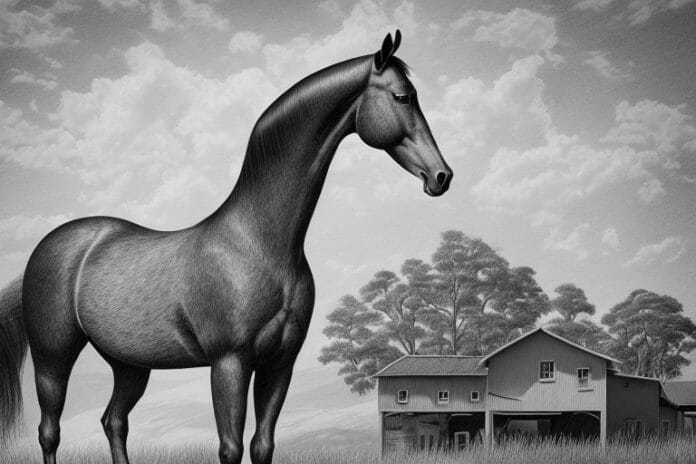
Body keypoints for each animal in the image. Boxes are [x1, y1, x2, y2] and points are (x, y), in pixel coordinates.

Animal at [0, 30, 452, 464]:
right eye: (402, 96)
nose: (442, 176)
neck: (257, 243)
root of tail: (48, 247)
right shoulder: (229, 362)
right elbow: (230, 448)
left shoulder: (279, 364)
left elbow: (262, 446)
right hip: (52, 358)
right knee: (50, 431)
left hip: (130, 364)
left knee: (114, 422)